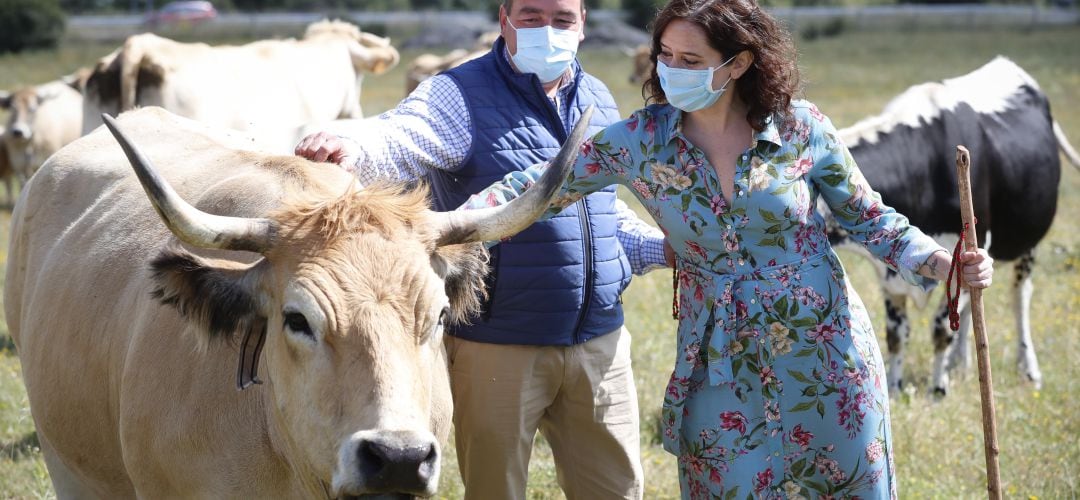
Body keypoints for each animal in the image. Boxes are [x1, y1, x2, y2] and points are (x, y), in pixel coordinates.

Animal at [820, 54, 1075, 397]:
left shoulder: (970, 248)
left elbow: (941, 328)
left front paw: (937, 389)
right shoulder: (888, 274)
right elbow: (897, 334)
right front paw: (897, 387)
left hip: (1027, 240)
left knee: (1019, 298)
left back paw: (1028, 370)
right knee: (971, 311)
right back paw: (963, 363)